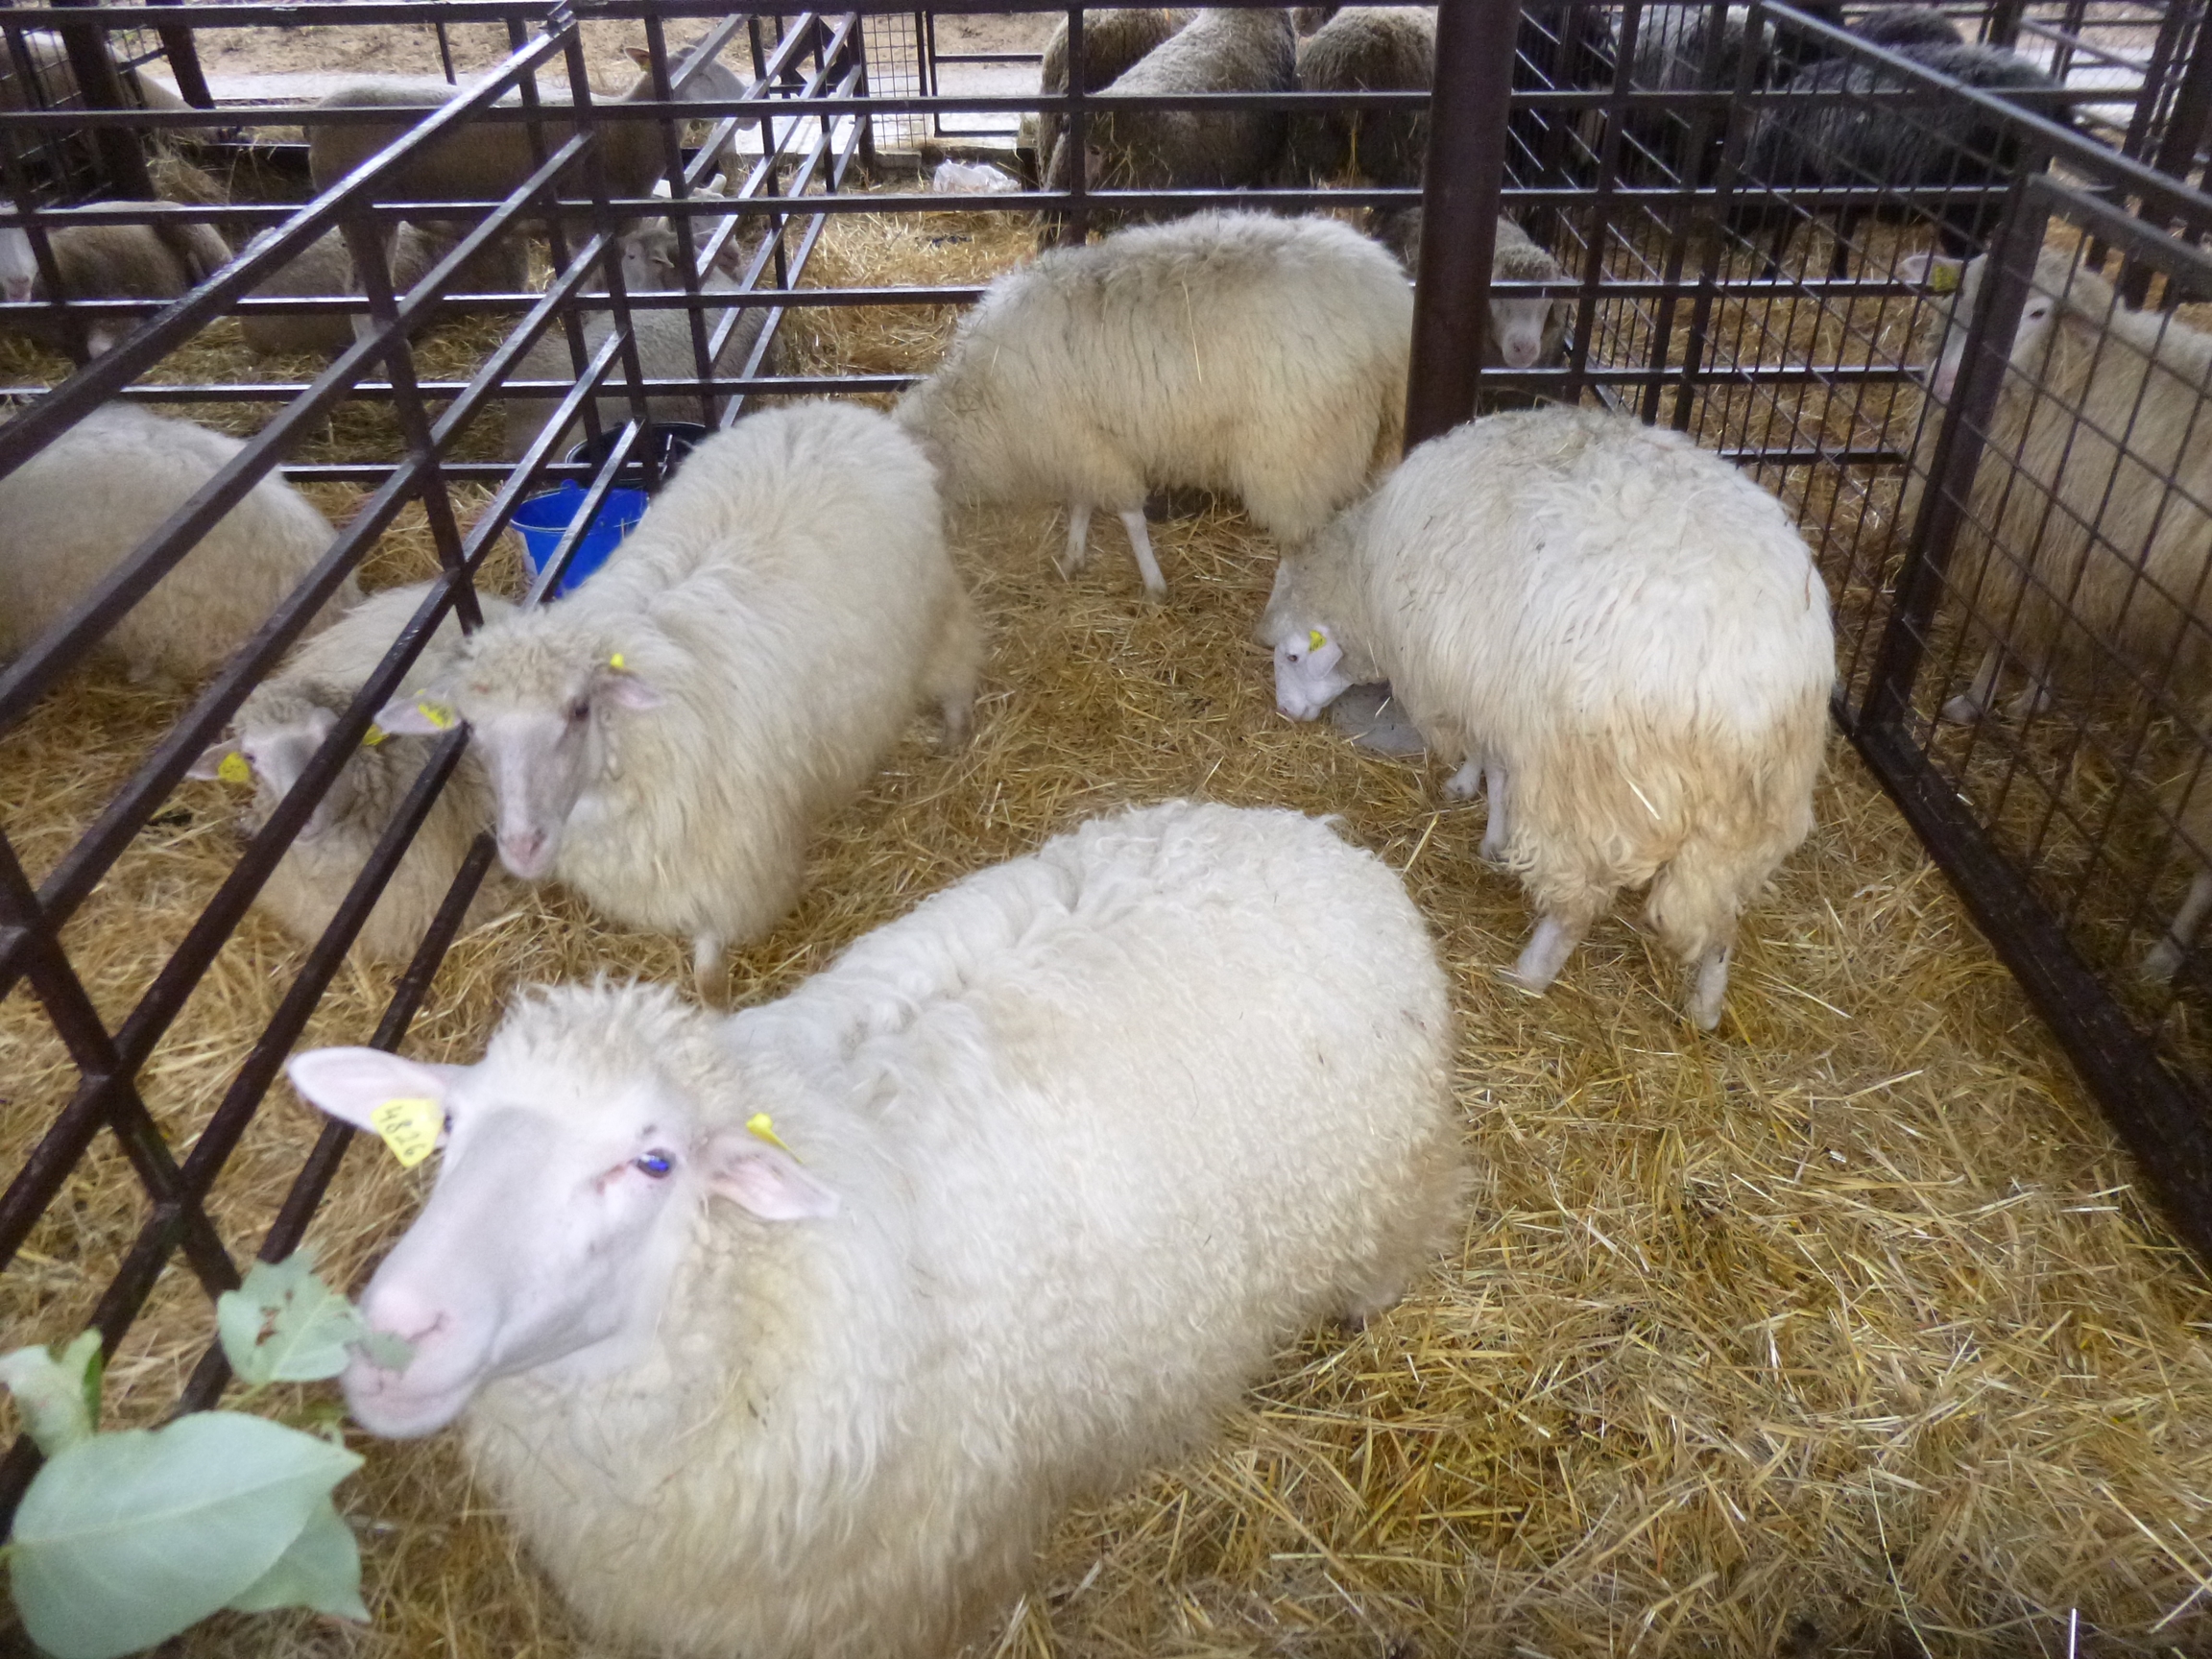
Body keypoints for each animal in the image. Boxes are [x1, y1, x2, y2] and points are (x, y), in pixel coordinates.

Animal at [375, 401, 980, 994]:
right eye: (472, 729)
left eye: (579, 709)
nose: (522, 846)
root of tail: (831, 410)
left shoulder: (726, 865)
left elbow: (709, 969)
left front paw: (715, 1008)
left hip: (935, 617)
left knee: (957, 669)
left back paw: (954, 738)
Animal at [896, 210, 1411, 600]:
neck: (983, 400)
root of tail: (1385, 302)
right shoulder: (1083, 442)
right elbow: (1082, 501)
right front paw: (1073, 555)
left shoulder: (1085, 443)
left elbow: (1129, 516)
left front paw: (1153, 583)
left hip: (1297, 449)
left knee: (1302, 535)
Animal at [1261, 406, 1834, 1029]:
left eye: (1293, 655)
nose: (1285, 710)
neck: (1366, 577)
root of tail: (1752, 692)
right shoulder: (1496, 693)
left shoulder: (1480, 682)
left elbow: (1495, 766)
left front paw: (1486, 823)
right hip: (1750, 824)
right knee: (1721, 919)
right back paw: (1706, 1005)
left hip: (1589, 796)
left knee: (1576, 905)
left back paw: (1528, 973)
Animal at [1902, 247, 2212, 734]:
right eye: (1964, 291)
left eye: (2038, 312)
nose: (1948, 378)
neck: (2076, 376)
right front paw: (2022, 693)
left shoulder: (2036, 540)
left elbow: (2008, 629)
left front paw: (1992, 697)